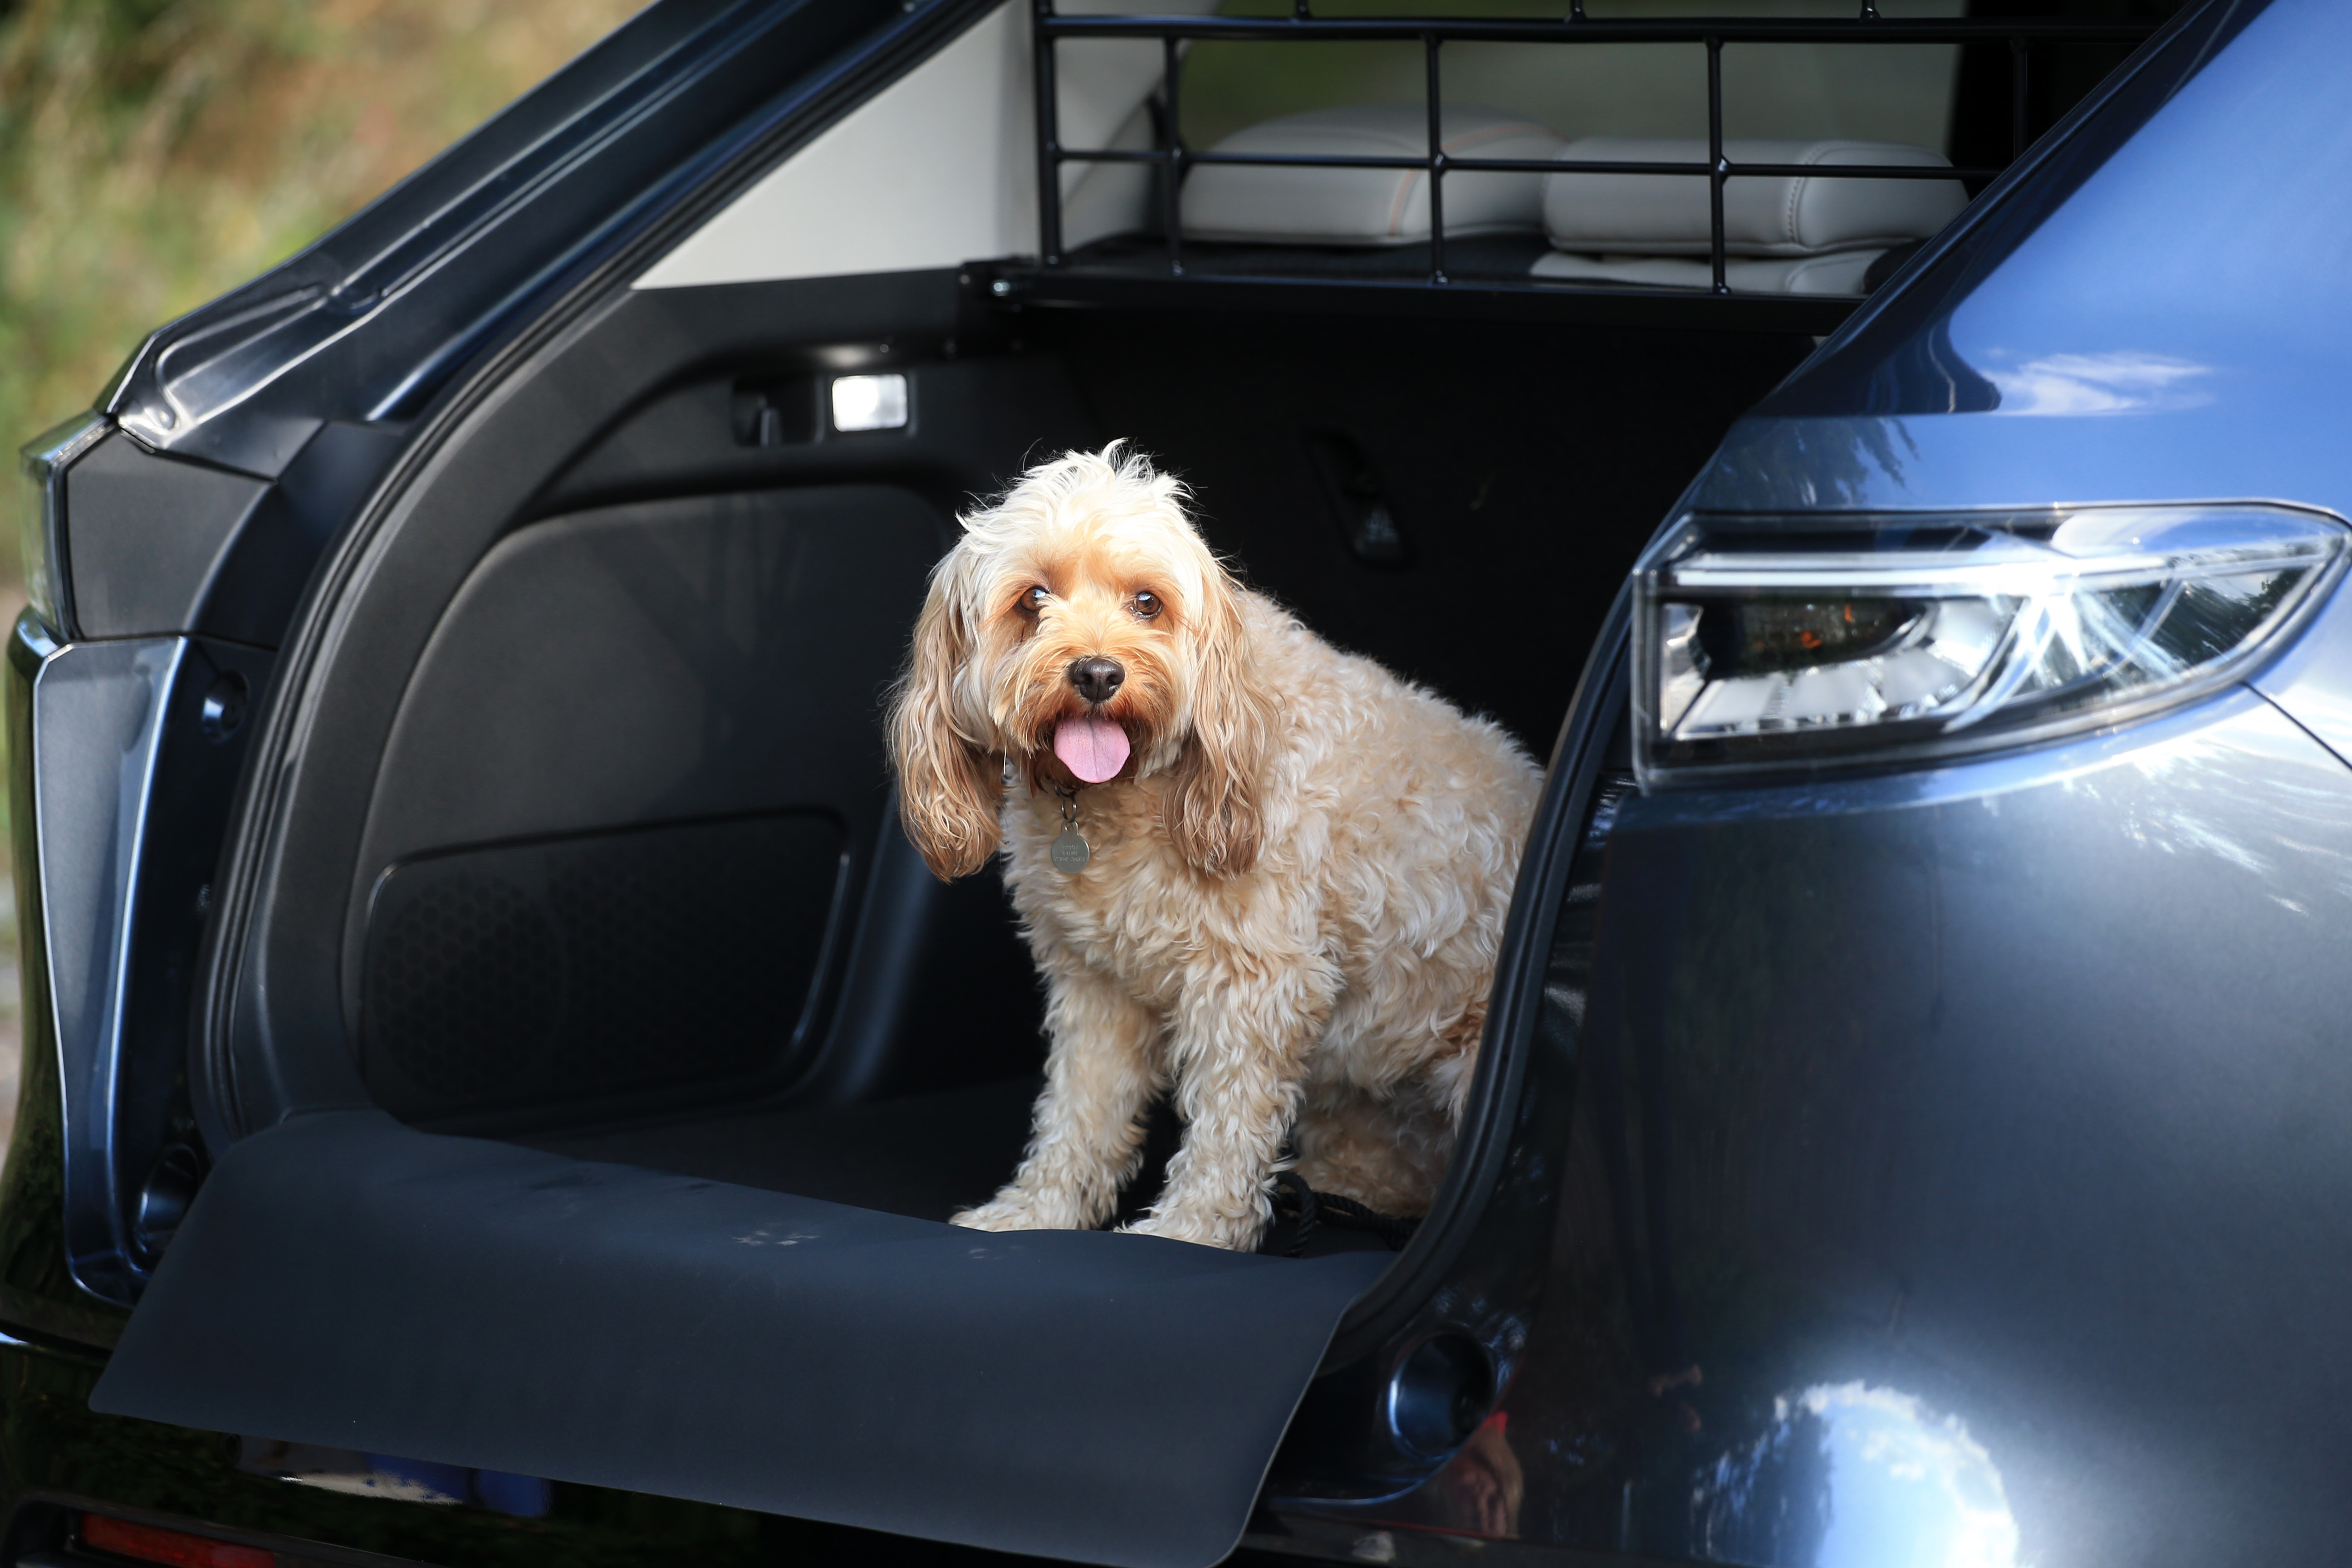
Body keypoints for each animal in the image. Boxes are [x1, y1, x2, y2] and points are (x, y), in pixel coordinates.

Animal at [884, 442, 1543, 1250]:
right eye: (1033, 599)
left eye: (1147, 603)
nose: (1097, 673)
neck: (1127, 792)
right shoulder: (1097, 984)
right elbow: (1081, 1109)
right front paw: (1039, 1212)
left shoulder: (1256, 983)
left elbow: (1229, 1124)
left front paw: (1190, 1233)